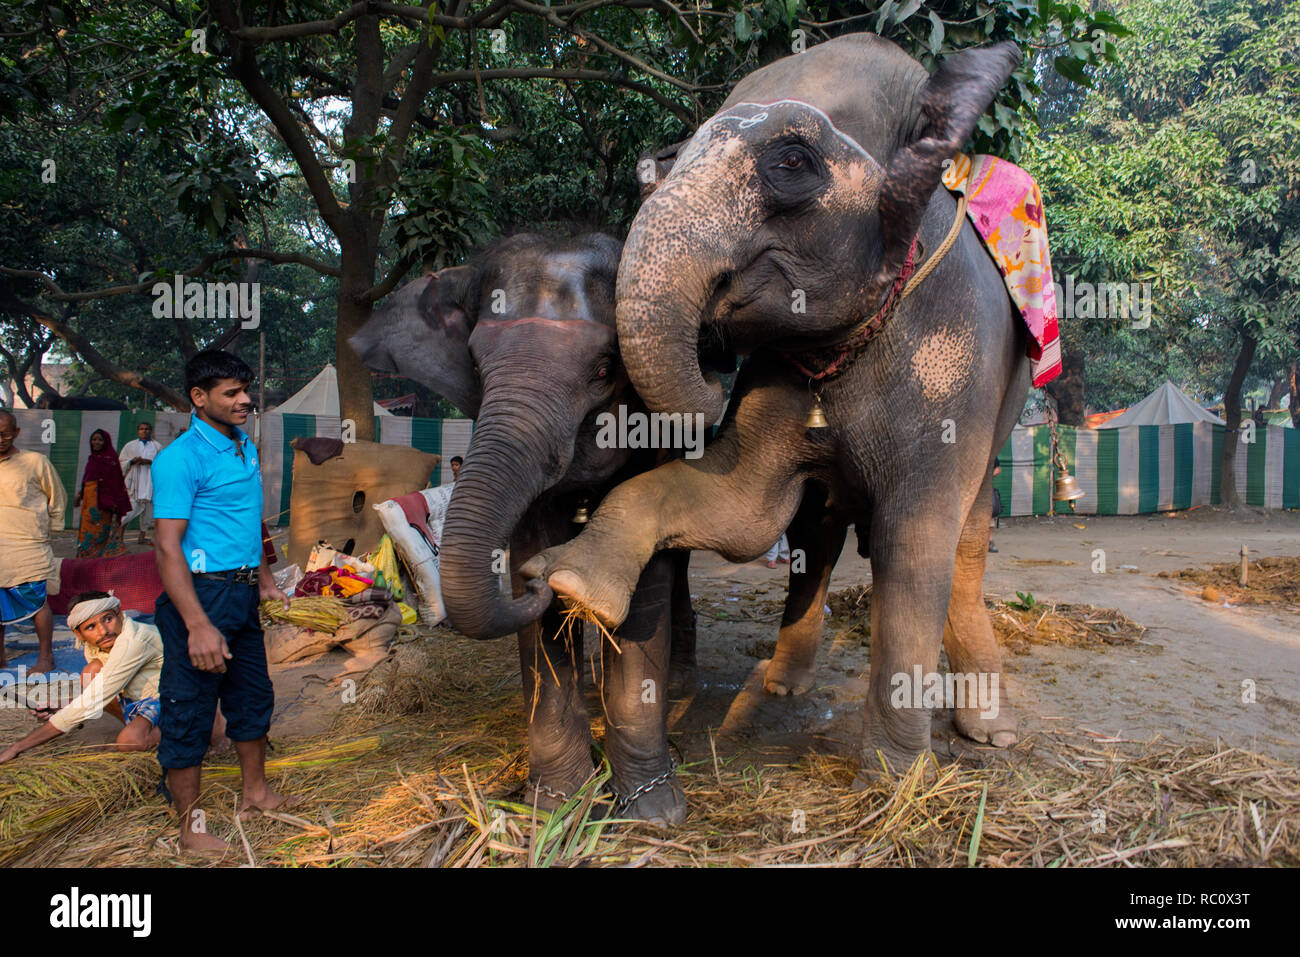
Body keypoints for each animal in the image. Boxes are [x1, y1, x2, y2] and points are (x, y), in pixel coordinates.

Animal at [353, 230, 842, 821]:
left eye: (606, 370)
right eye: (475, 363)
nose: (539, 582)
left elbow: (646, 593)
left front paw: (654, 811)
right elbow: (535, 578)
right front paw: (557, 806)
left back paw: (676, 685)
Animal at [522, 37, 1029, 780]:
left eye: (792, 161)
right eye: (668, 164)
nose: (712, 363)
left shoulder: (952, 361)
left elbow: (914, 538)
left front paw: (893, 778)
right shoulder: (775, 376)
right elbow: (743, 511)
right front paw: (566, 584)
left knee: (966, 538)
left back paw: (991, 731)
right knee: (815, 534)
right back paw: (783, 685)